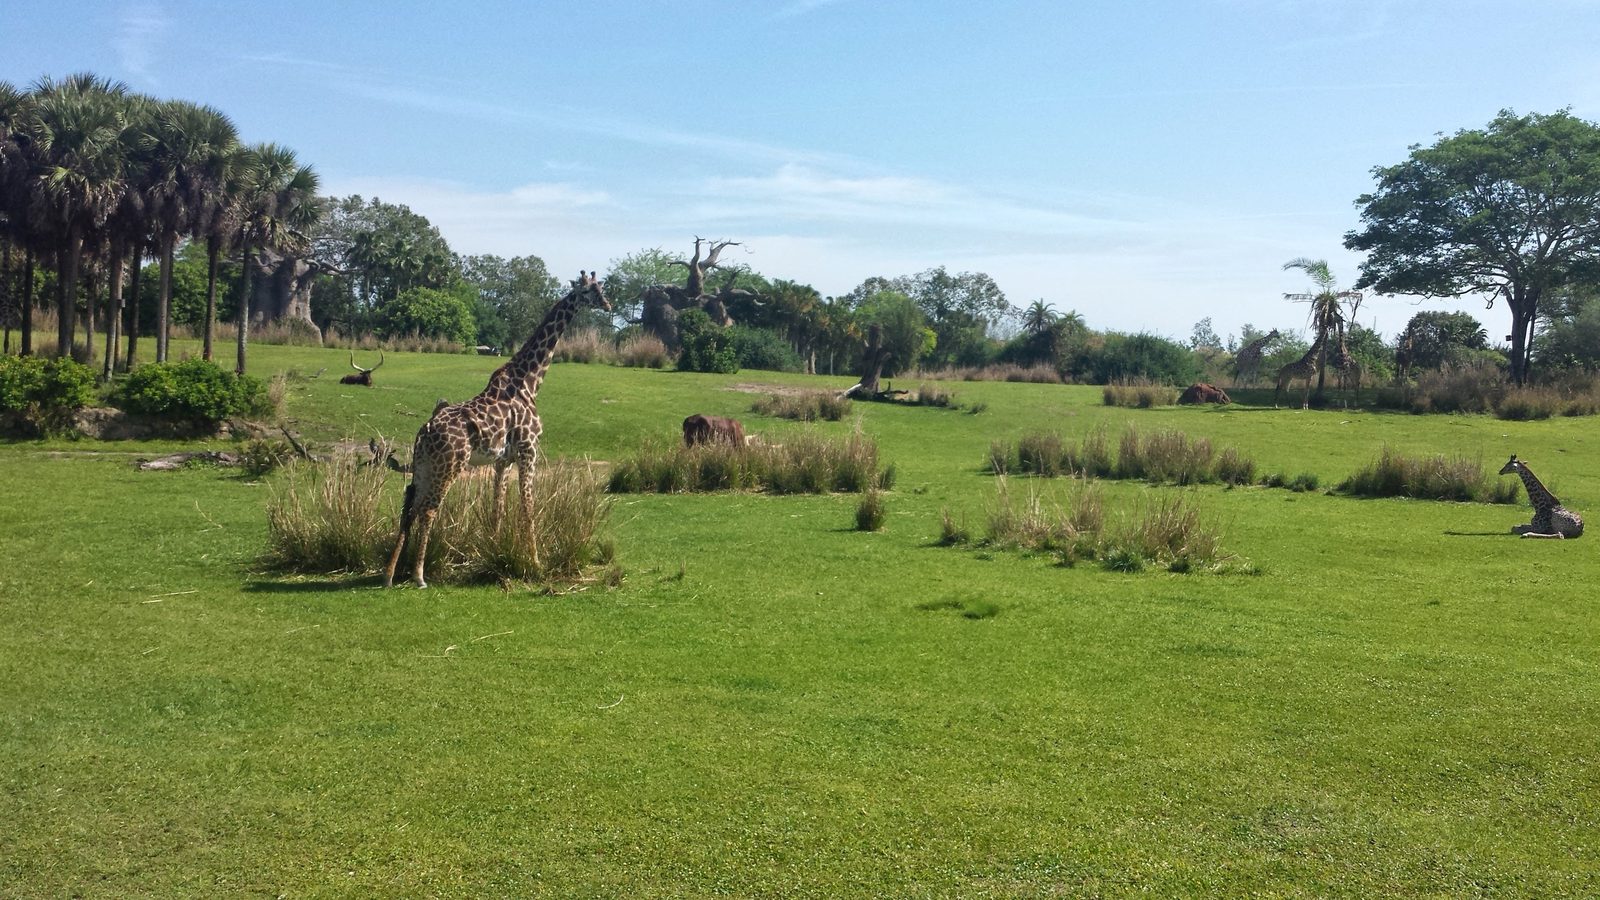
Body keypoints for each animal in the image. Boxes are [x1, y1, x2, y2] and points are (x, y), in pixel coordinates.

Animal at [383, 272, 611, 587]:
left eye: (602, 288)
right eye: (590, 291)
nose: (608, 304)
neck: (530, 381)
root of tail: (425, 431)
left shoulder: (503, 459)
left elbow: (497, 509)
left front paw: (495, 553)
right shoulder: (529, 450)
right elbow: (527, 507)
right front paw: (535, 563)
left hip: (424, 465)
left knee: (409, 507)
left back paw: (390, 574)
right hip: (450, 466)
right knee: (428, 510)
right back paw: (418, 575)